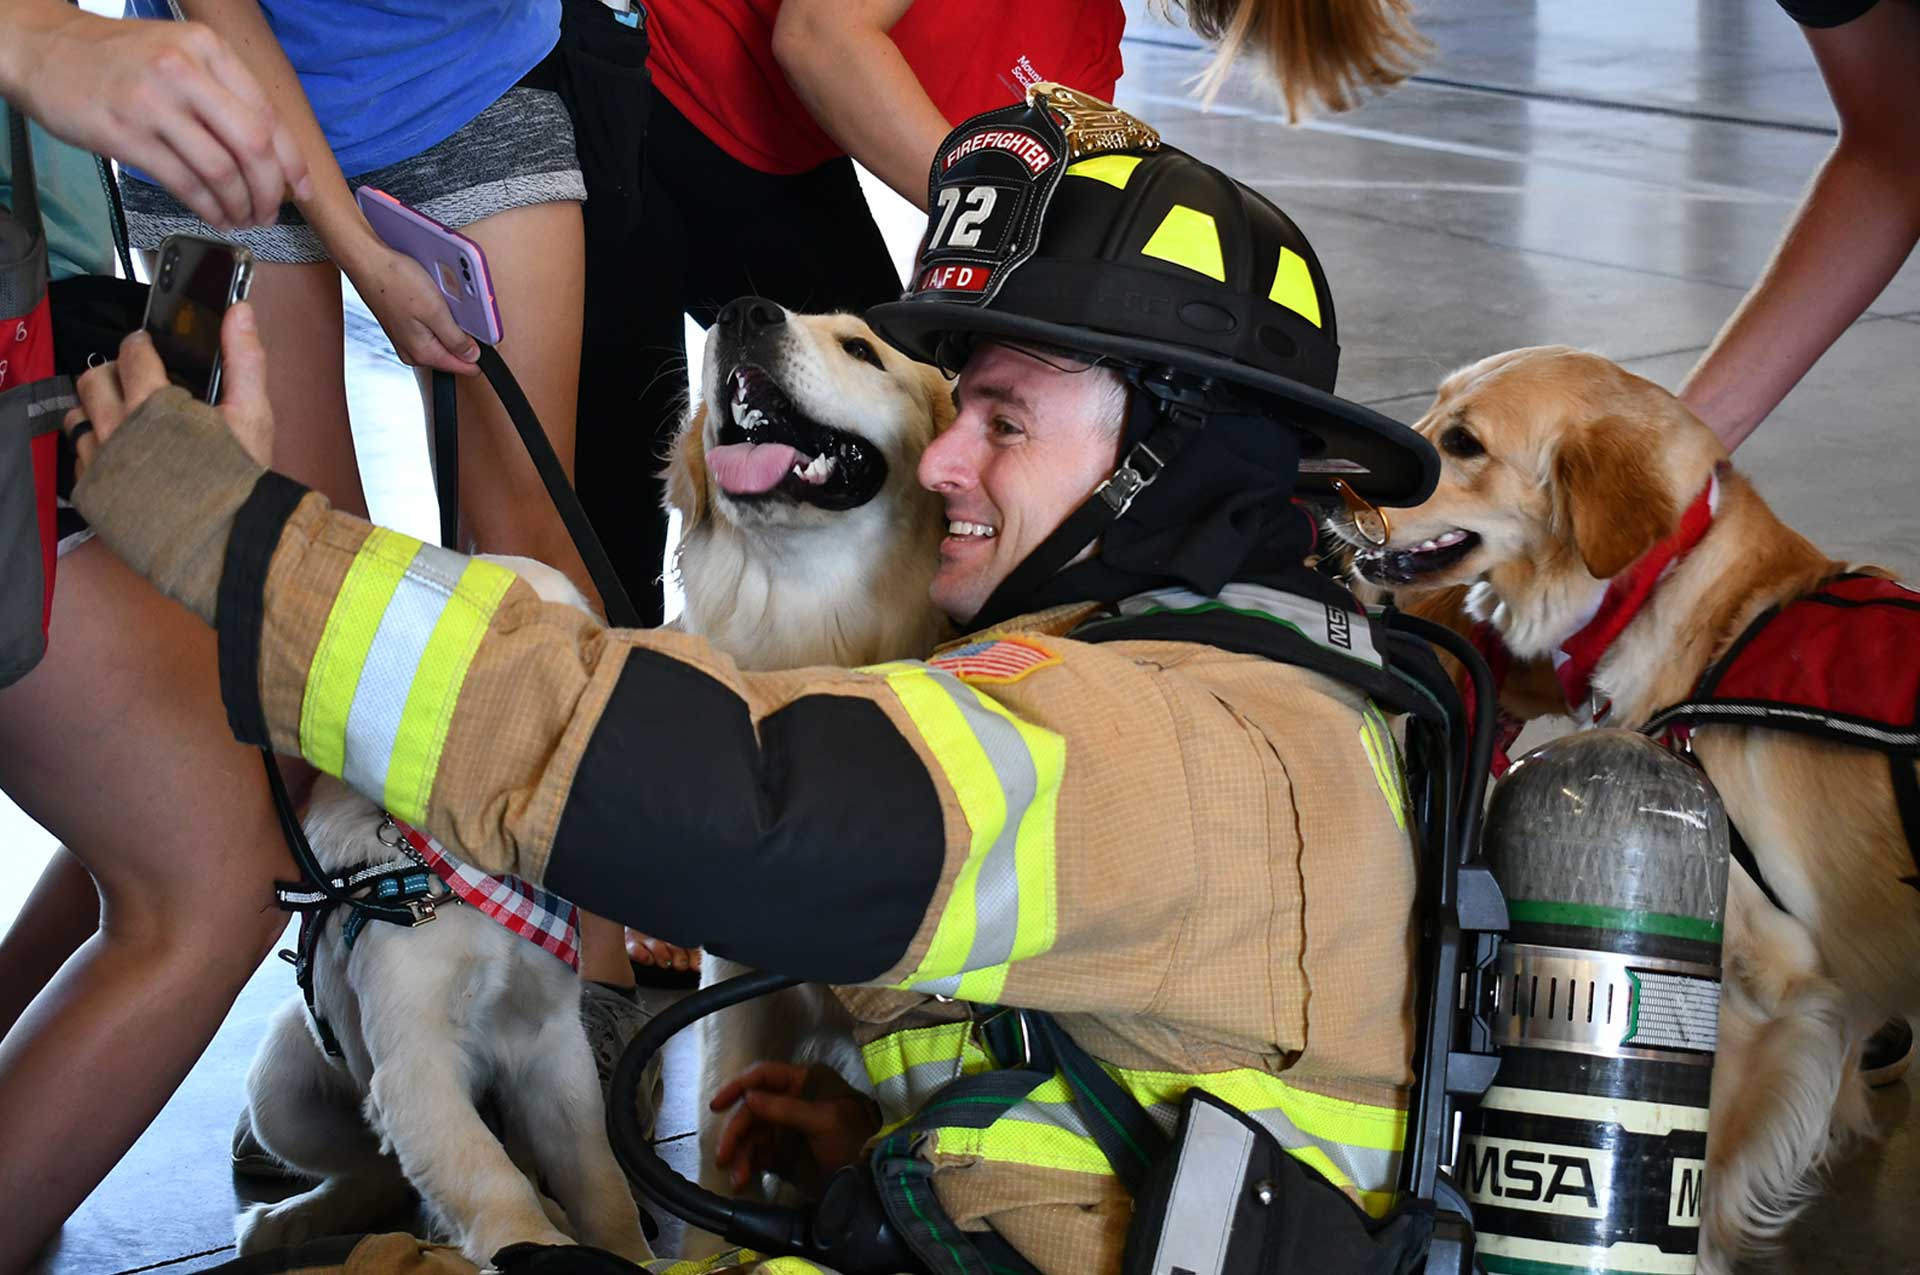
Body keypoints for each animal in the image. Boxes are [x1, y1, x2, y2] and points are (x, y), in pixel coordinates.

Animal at [1344, 343, 1912, 1267]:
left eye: (1464, 443)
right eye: (1432, 409)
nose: (1331, 481)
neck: (1689, 609)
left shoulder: (1766, 990)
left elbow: (1707, 1165)